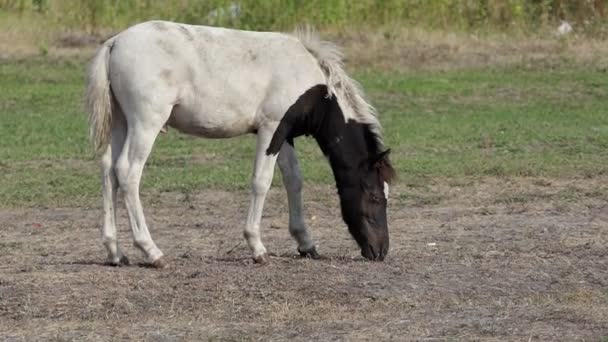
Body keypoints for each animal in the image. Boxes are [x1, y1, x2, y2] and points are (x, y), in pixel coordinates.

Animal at [86, 20, 394, 268]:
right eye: (375, 197)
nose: (380, 251)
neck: (310, 82)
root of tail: (115, 43)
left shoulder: (283, 134)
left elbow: (294, 180)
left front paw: (306, 243)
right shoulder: (270, 128)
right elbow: (261, 182)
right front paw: (257, 248)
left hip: (122, 122)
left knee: (108, 170)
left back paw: (115, 252)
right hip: (146, 122)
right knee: (128, 172)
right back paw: (152, 252)